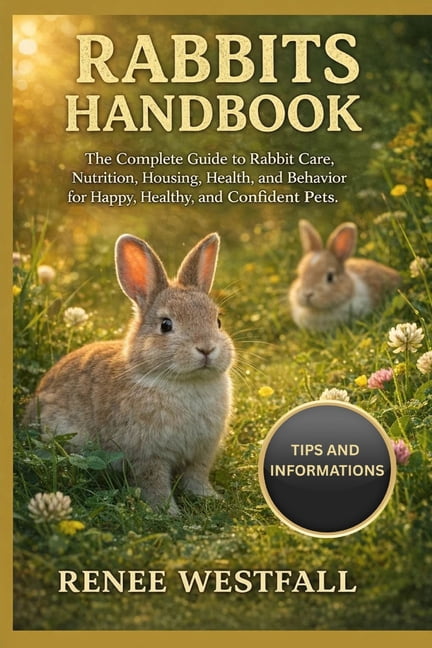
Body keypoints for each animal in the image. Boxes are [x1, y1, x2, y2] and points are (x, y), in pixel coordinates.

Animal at [25, 233, 234, 516]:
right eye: (166, 325)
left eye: (218, 321)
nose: (206, 348)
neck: (185, 382)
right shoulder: (148, 455)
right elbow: (154, 483)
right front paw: (167, 513)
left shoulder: (202, 453)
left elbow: (196, 477)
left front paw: (210, 498)